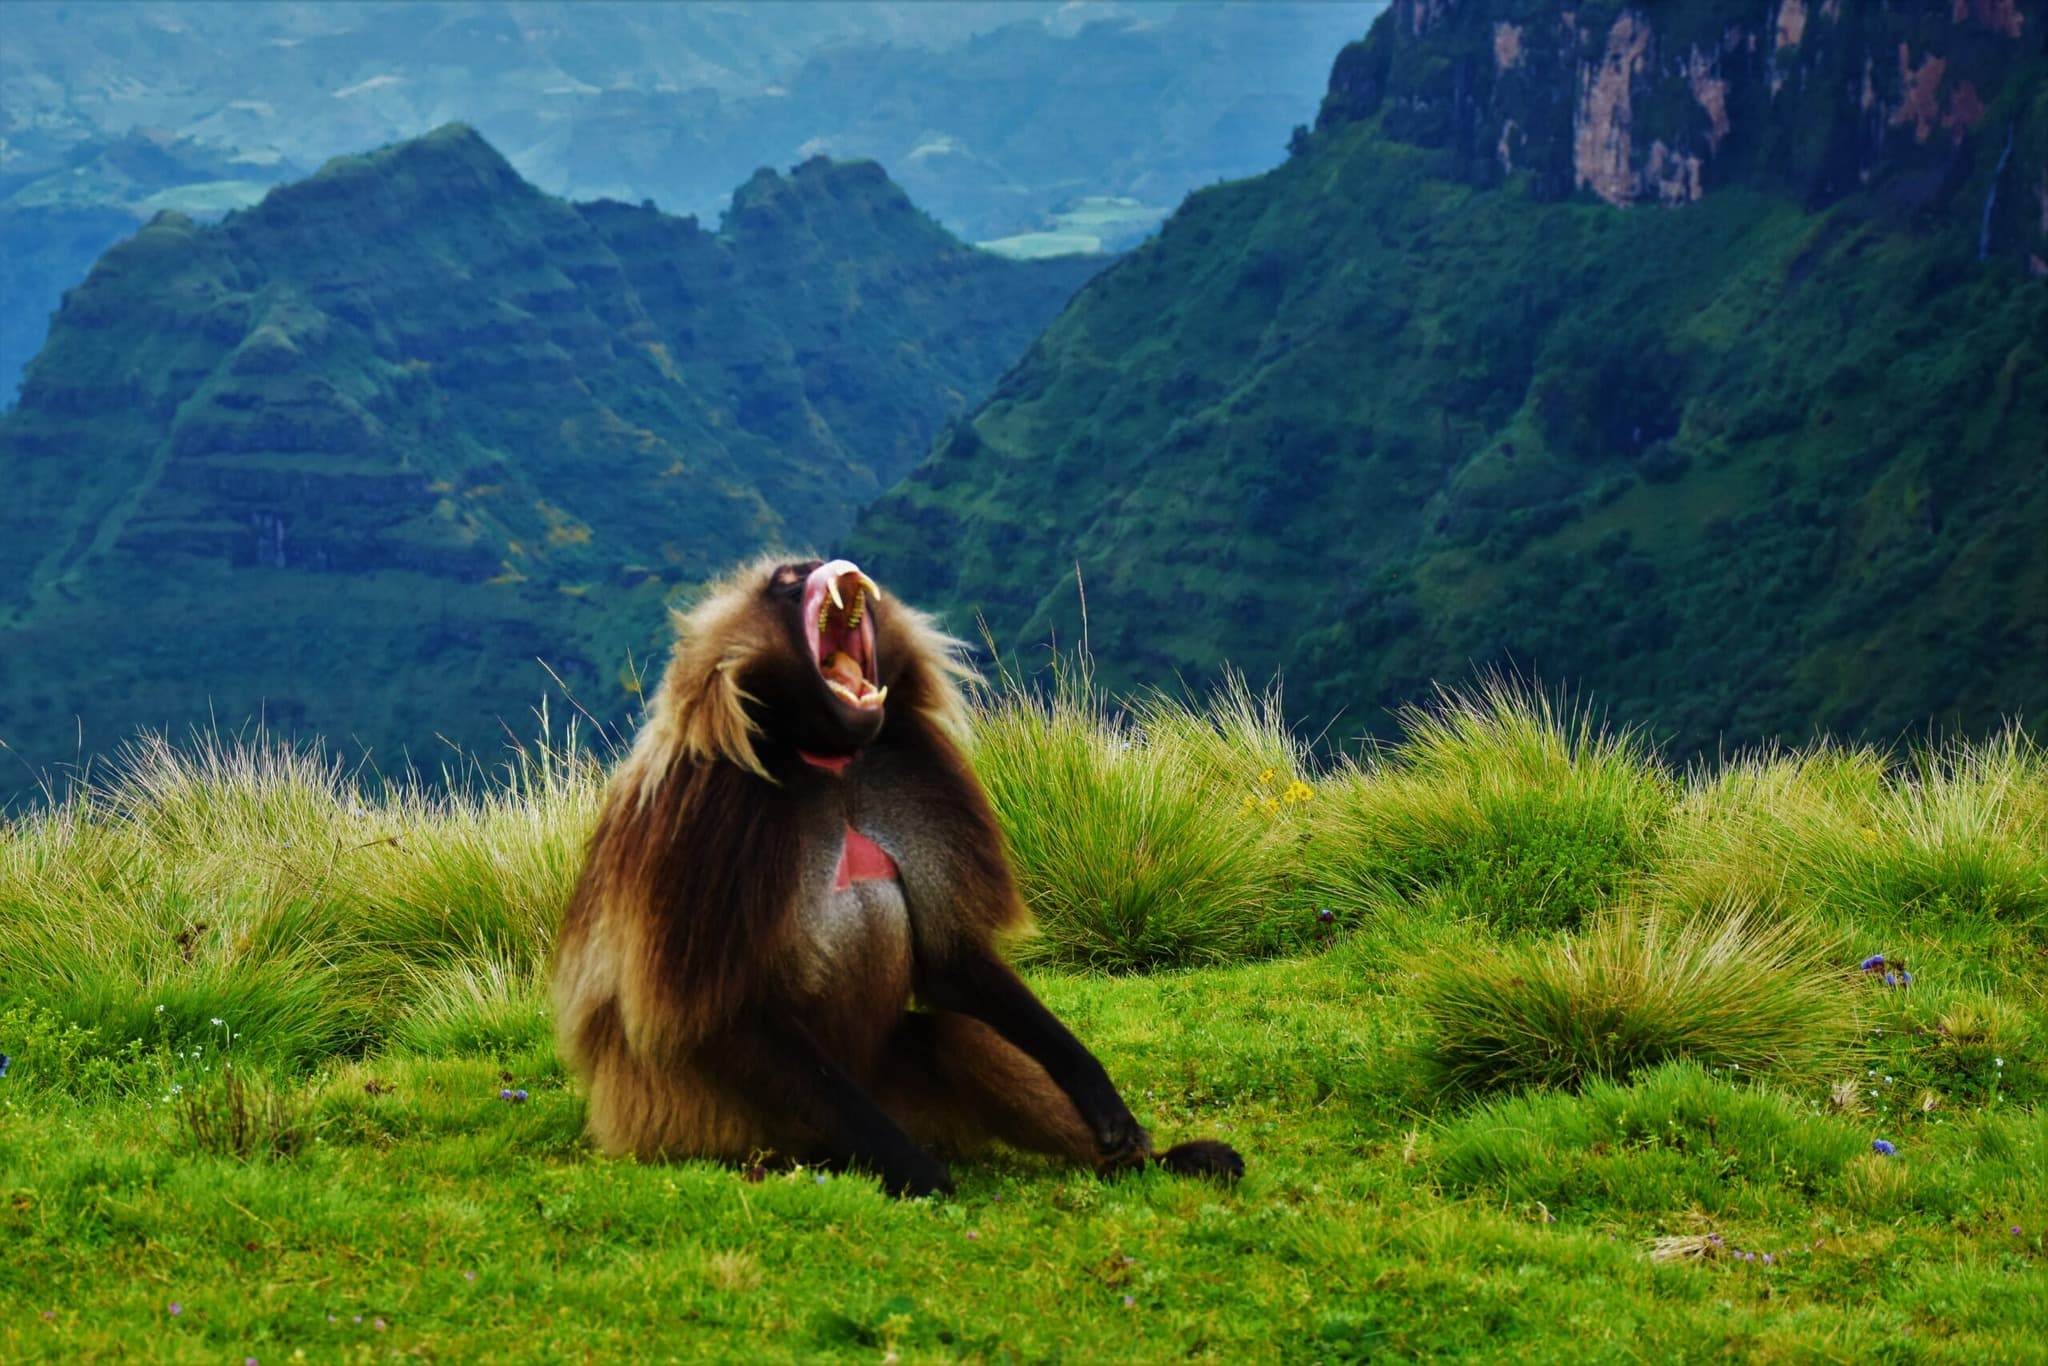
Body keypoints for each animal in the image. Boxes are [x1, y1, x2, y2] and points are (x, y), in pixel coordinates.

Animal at [551, 555, 1244, 1196]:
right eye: (786, 579)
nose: (828, 564)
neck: (826, 759)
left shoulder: (908, 773)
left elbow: (950, 960)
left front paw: (1097, 1092)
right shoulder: (708, 818)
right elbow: (727, 1014)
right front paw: (920, 1173)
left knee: (953, 1039)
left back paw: (1157, 1164)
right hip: (719, 1119)